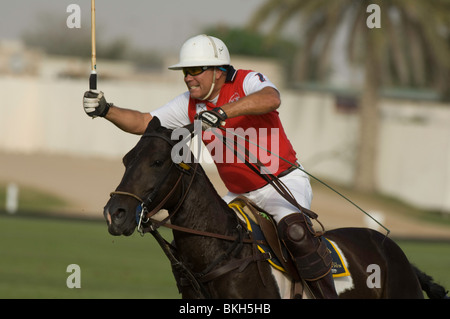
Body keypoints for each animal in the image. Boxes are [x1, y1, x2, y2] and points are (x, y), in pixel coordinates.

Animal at [104, 117, 446, 300]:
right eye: (126, 159)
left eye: (158, 161)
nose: (115, 214)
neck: (220, 254)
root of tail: (397, 252)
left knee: (296, 231)